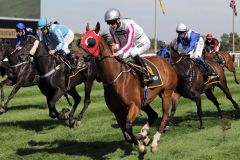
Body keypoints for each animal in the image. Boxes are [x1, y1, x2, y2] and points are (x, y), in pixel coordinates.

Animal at [79, 22, 178, 152]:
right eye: (80, 40)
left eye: (91, 41)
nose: (78, 57)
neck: (116, 79)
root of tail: (167, 63)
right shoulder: (117, 111)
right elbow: (126, 134)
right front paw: (142, 138)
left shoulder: (134, 106)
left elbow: (128, 126)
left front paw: (141, 146)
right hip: (144, 101)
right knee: (153, 114)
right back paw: (145, 133)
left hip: (166, 93)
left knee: (164, 116)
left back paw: (154, 141)